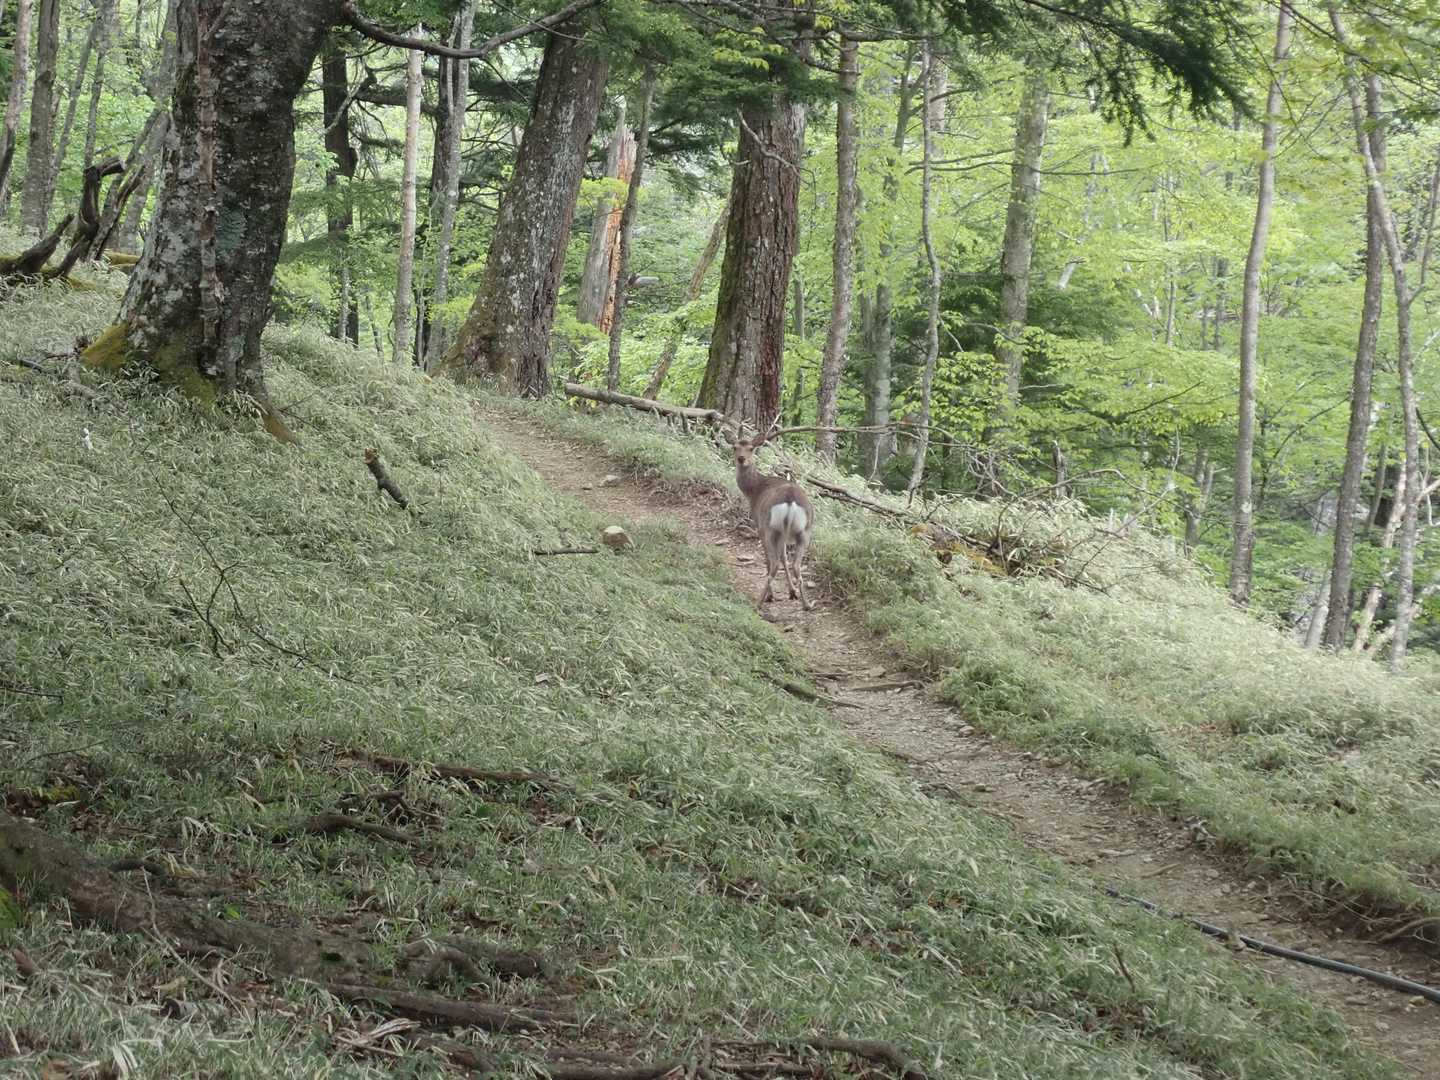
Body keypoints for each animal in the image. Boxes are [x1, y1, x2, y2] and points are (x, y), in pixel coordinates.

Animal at [726, 424, 815, 611]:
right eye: (735, 447)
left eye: (751, 448)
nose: (741, 459)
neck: (754, 491)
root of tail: (790, 501)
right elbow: (784, 558)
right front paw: (792, 592)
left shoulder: (758, 525)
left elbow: (770, 559)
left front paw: (774, 595)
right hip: (804, 531)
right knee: (795, 564)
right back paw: (807, 604)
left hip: (770, 528)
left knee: (773, 563)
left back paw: (760, 601)